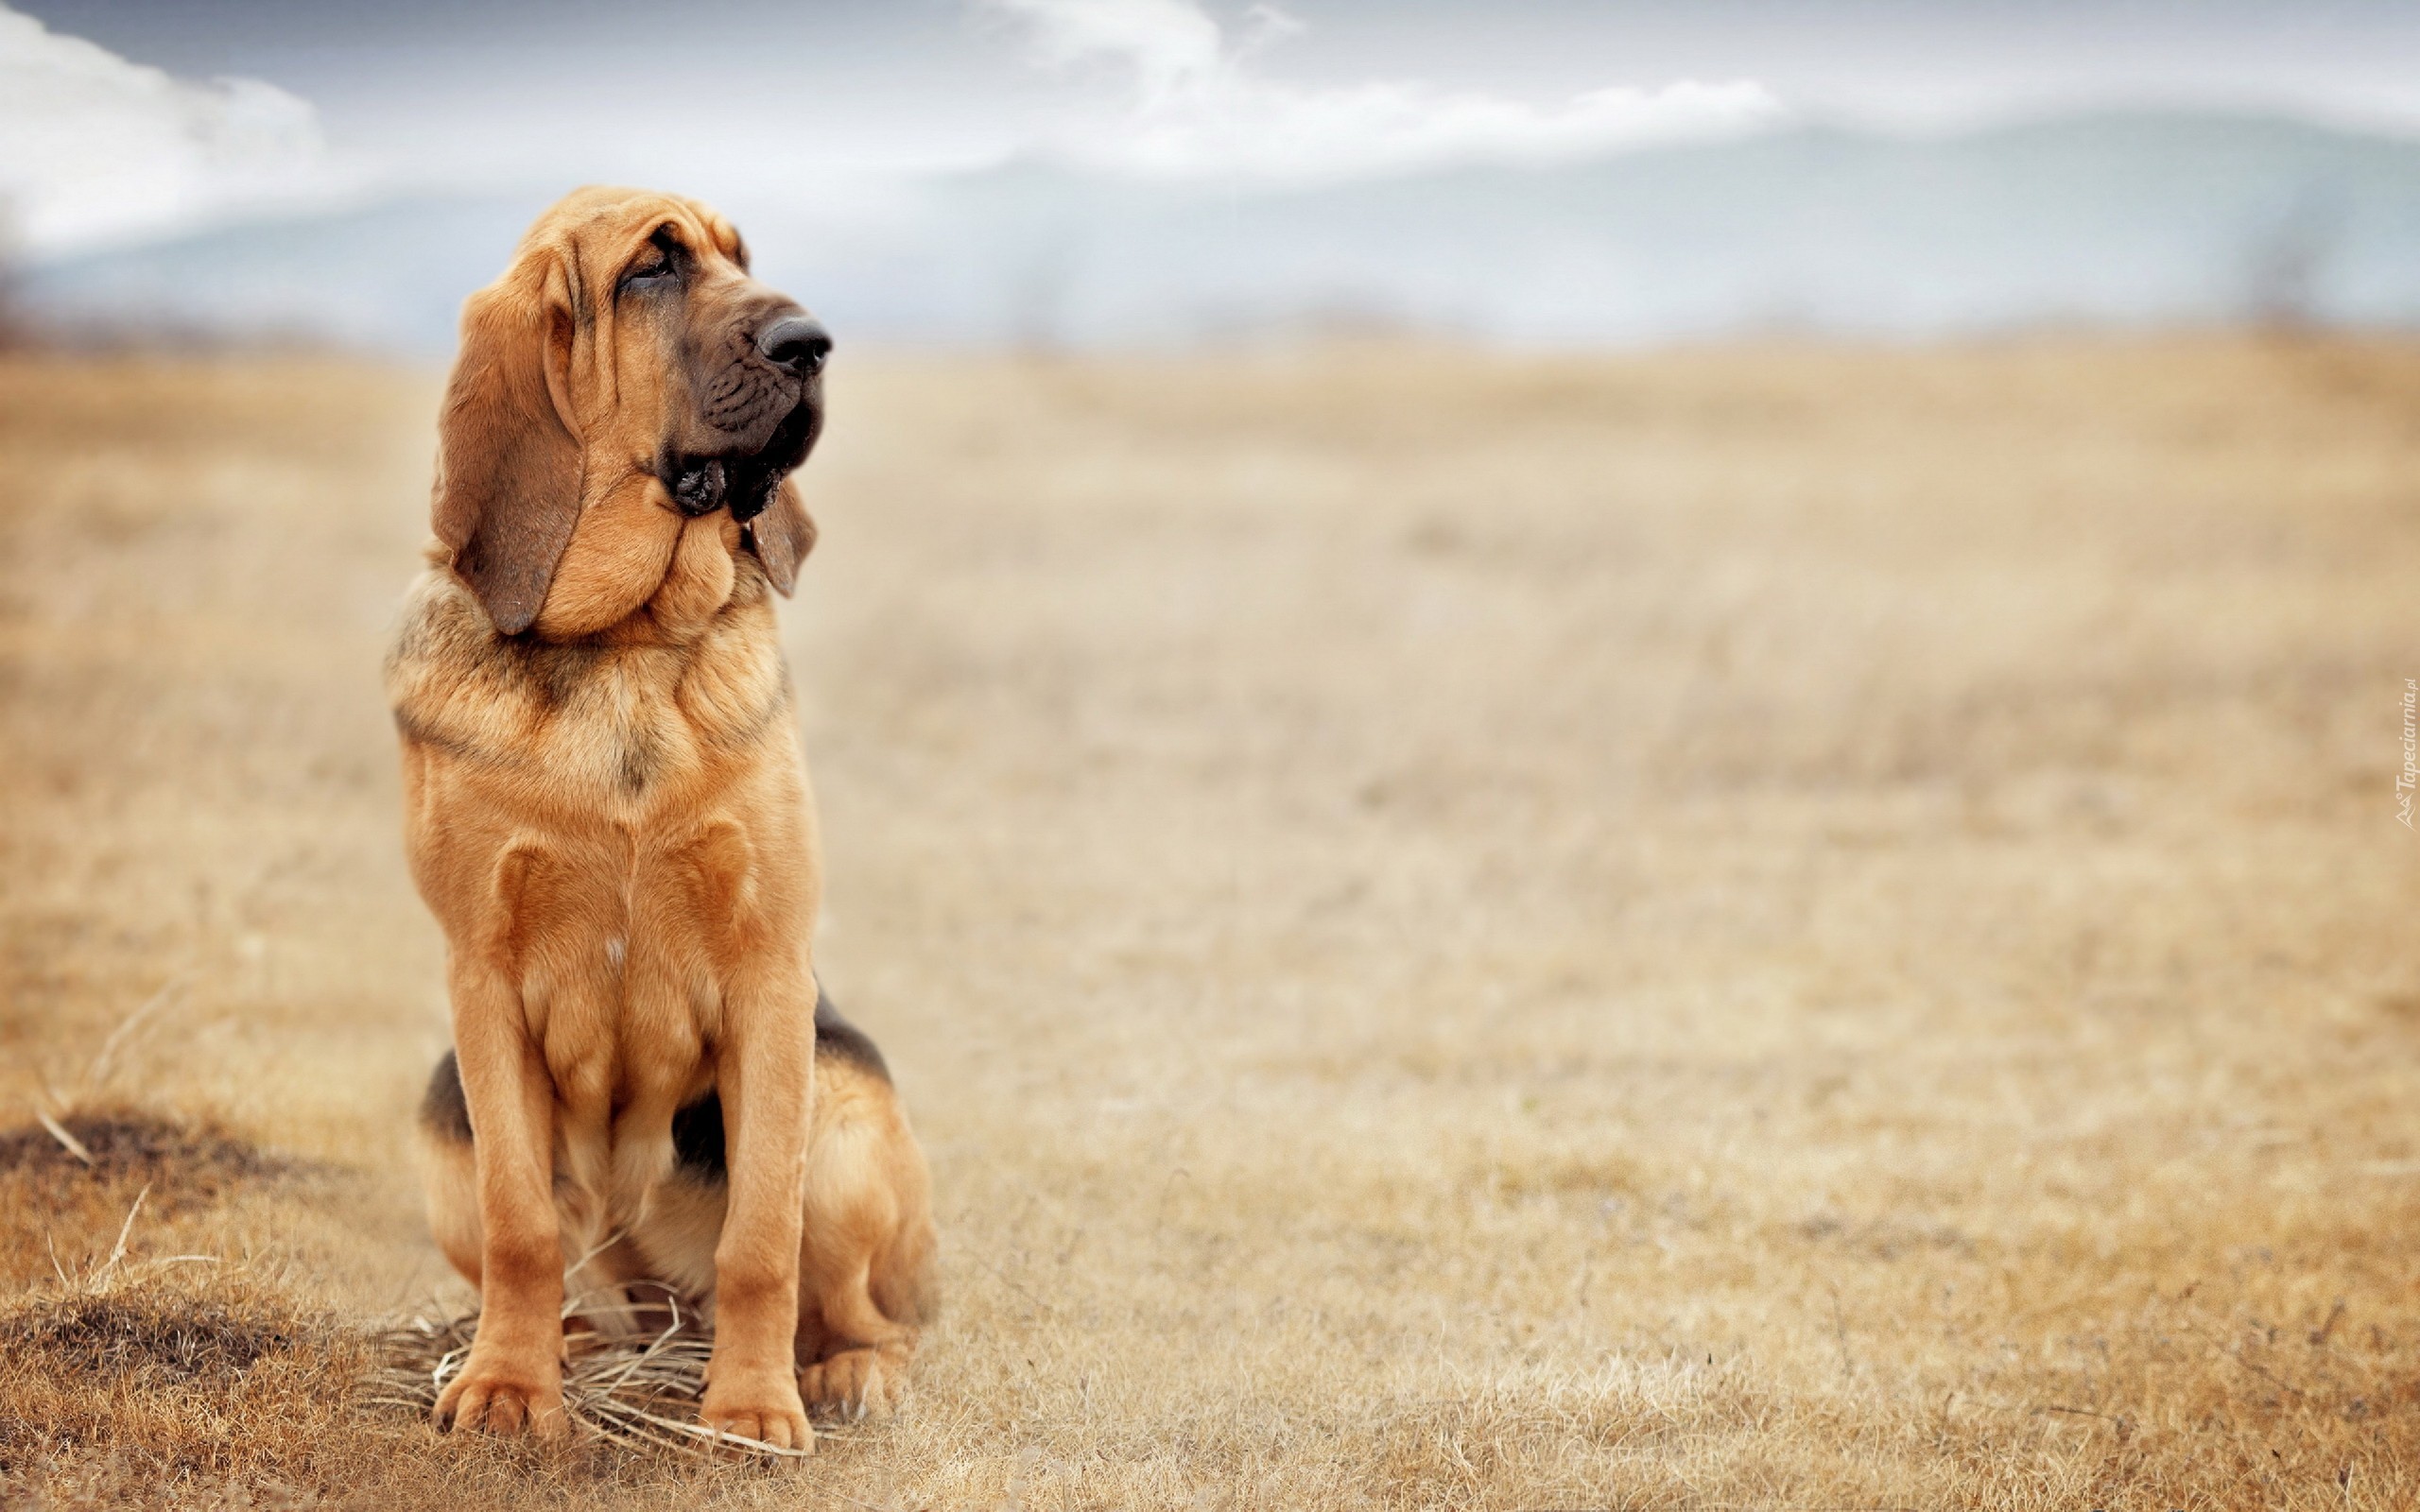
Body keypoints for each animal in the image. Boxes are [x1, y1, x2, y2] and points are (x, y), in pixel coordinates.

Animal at [387, 188, 934, 1452]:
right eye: (651, 269)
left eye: (742, 259)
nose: (811, 344)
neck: (626, 644)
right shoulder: (482, 978)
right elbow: (522, 1224)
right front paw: (508, 1390)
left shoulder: (768, 974)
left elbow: (760, 1242)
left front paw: (751, 1409)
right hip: (443, 1129)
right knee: (566, 1273)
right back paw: (563, 1353)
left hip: (845, 1103)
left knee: (852, 1306)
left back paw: (844, 1371)